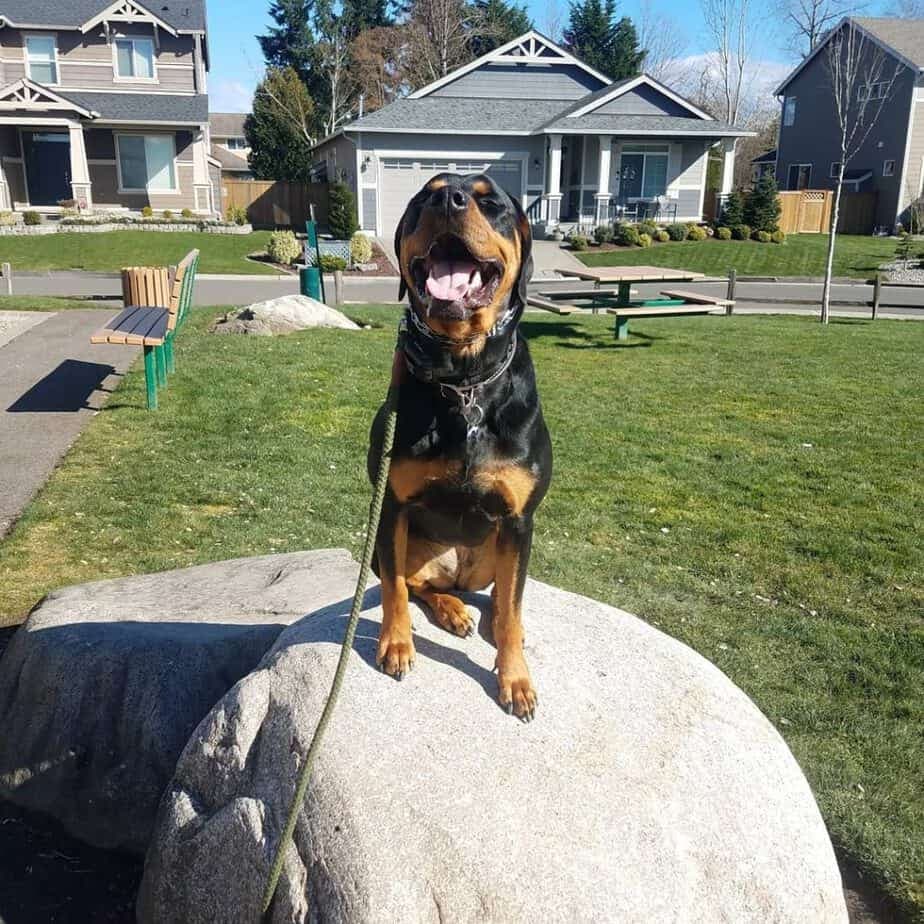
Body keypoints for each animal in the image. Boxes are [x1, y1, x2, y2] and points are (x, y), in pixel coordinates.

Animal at [368, 175, 552, 720]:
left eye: (490, 202)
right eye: (424, 197)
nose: (447, 201)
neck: (463, 376)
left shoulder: (519, 519)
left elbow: (513, 603)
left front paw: (515, 678)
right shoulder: (391, 506)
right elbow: (394, 591)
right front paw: (396, 644)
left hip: (499, 548)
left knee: (501, 596)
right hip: (393, 545)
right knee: (420, 584)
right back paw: (450, 610)